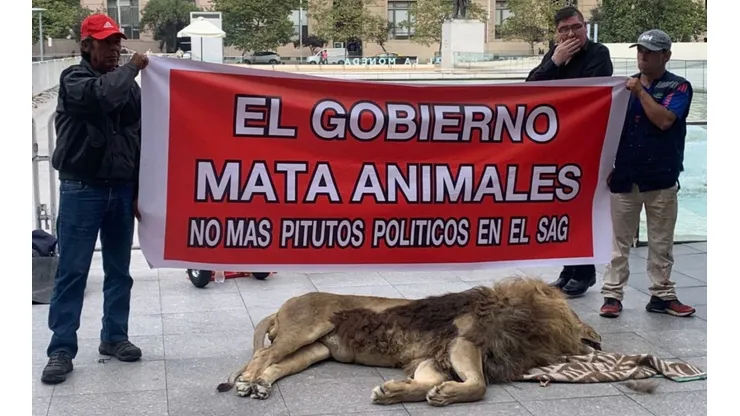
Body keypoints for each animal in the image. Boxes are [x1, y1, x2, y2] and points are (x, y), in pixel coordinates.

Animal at [216, 277, 602, 407]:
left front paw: (394, 392)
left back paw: (261, 386)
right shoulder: (463, 342)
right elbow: (479, 385)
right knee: (263, 356)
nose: (597, 342)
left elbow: (427, 383)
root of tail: (285, 304)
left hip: (315, 350)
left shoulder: (434, 359)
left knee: (276, 365)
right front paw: (446, 395)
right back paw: (248, 382)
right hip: (304, 330)